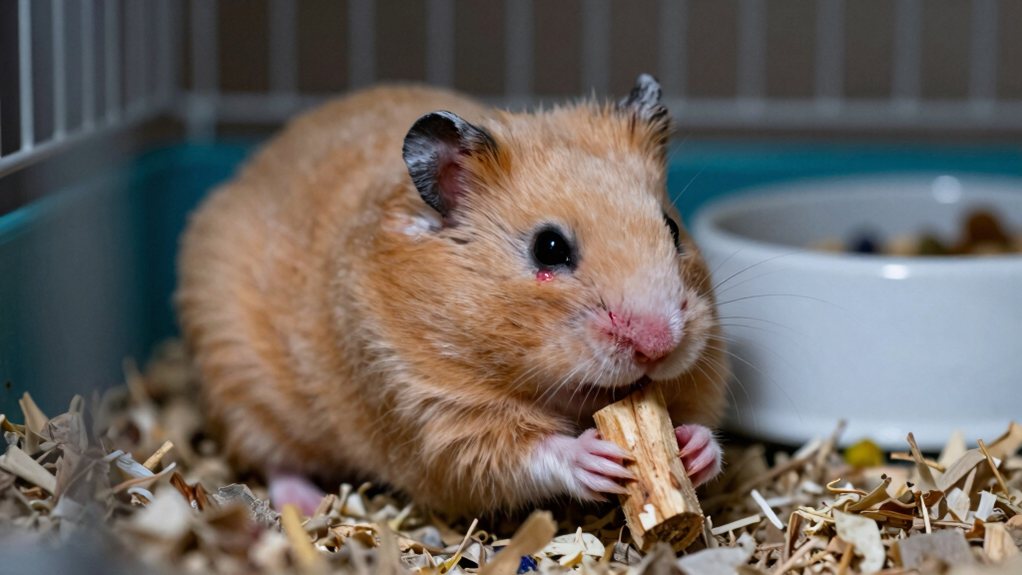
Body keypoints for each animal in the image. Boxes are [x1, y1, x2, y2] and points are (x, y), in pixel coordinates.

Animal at [176, 74, 729, 516]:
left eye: (672, 230)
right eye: (549, 248)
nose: (659, 346)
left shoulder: (707, 362)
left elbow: (703, 420)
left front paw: (693, 449)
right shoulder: (430, 414)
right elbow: (516, 454)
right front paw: (597, 458)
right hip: (240, 384)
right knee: (274, 459)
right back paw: (307, 504)